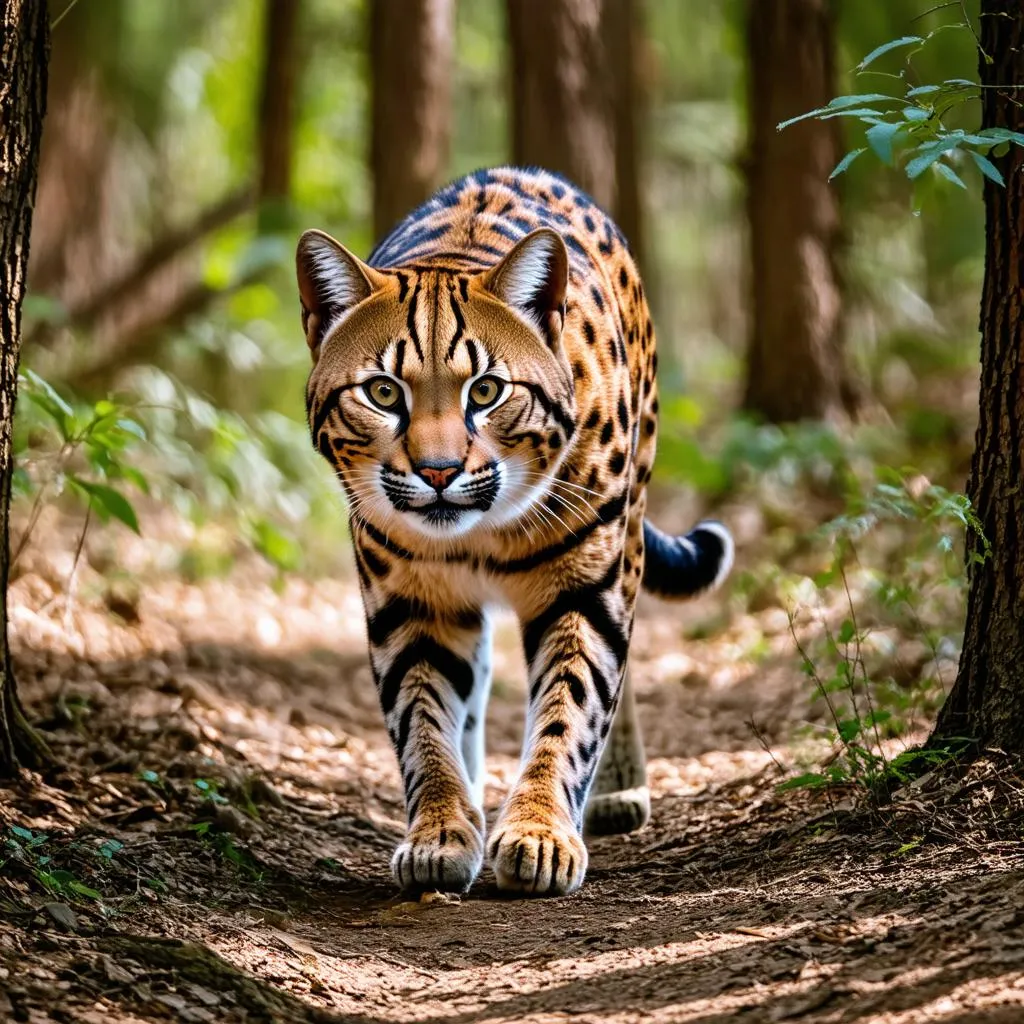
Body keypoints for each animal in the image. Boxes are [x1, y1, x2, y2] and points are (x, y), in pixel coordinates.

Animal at [292, 167, 733, 897]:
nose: (439, 471)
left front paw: (541, 834)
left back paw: (616, 792)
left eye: (486, 391)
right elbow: (423, 720)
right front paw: (440, 832)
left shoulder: (586, 587)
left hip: (631, 521)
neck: (483, 533)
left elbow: (571, 706)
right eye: (383, 393)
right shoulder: (409, 602)